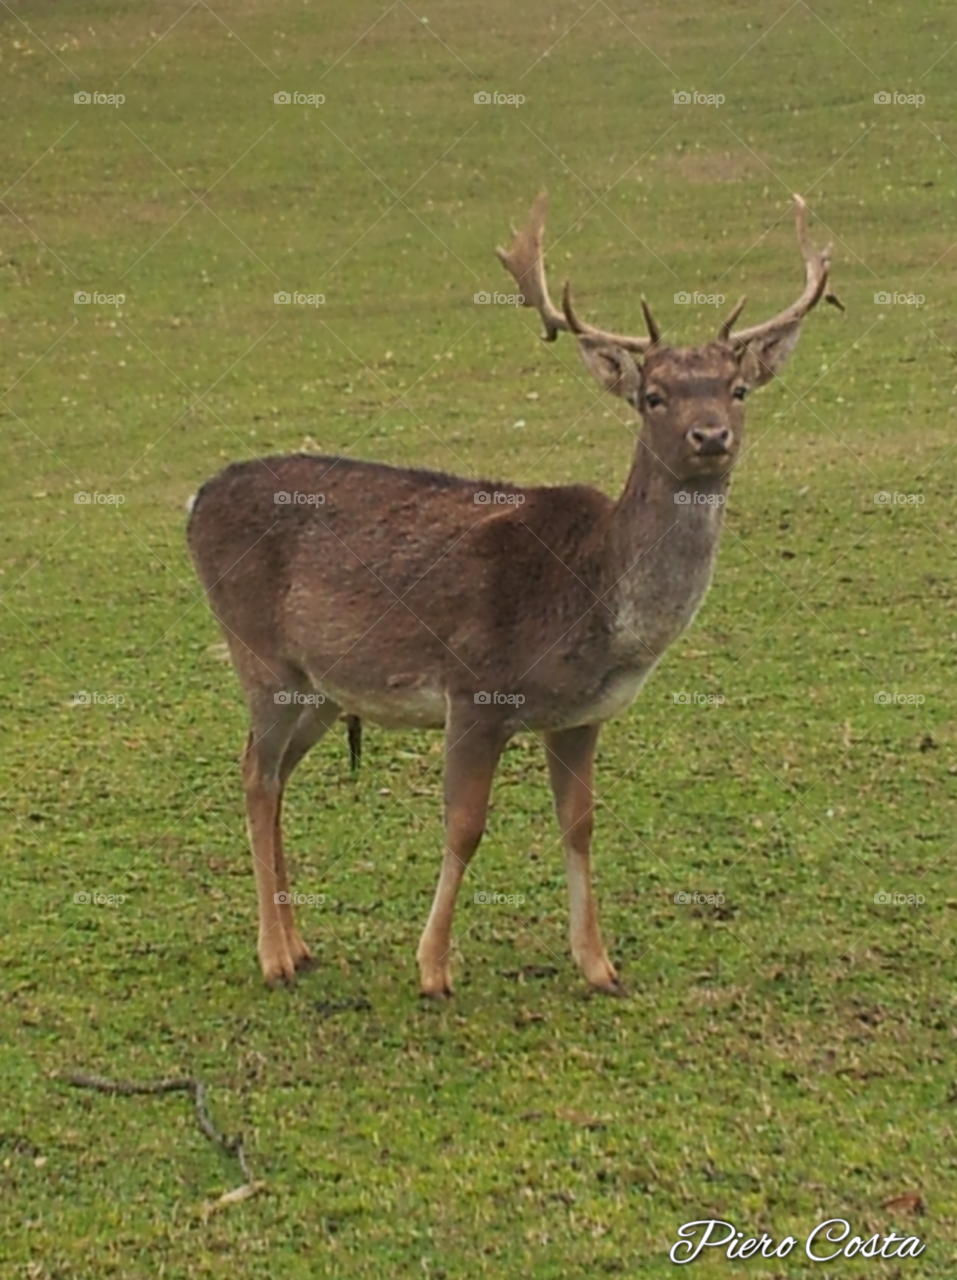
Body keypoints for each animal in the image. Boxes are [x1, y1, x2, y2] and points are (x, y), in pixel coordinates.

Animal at [187, 191, 837, 996]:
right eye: (652, 396)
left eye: (737, 389)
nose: (711, 436)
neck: (600, 613)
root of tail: (195, 501)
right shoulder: (475, 689)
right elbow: (465, 826)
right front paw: (433, 968)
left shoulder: (582, 717)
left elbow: (579, 825)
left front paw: (597, 964)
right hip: (259, 655)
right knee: (254, 772)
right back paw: (275, 957)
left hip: (323, 688)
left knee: (273, 774)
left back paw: (300, 944)